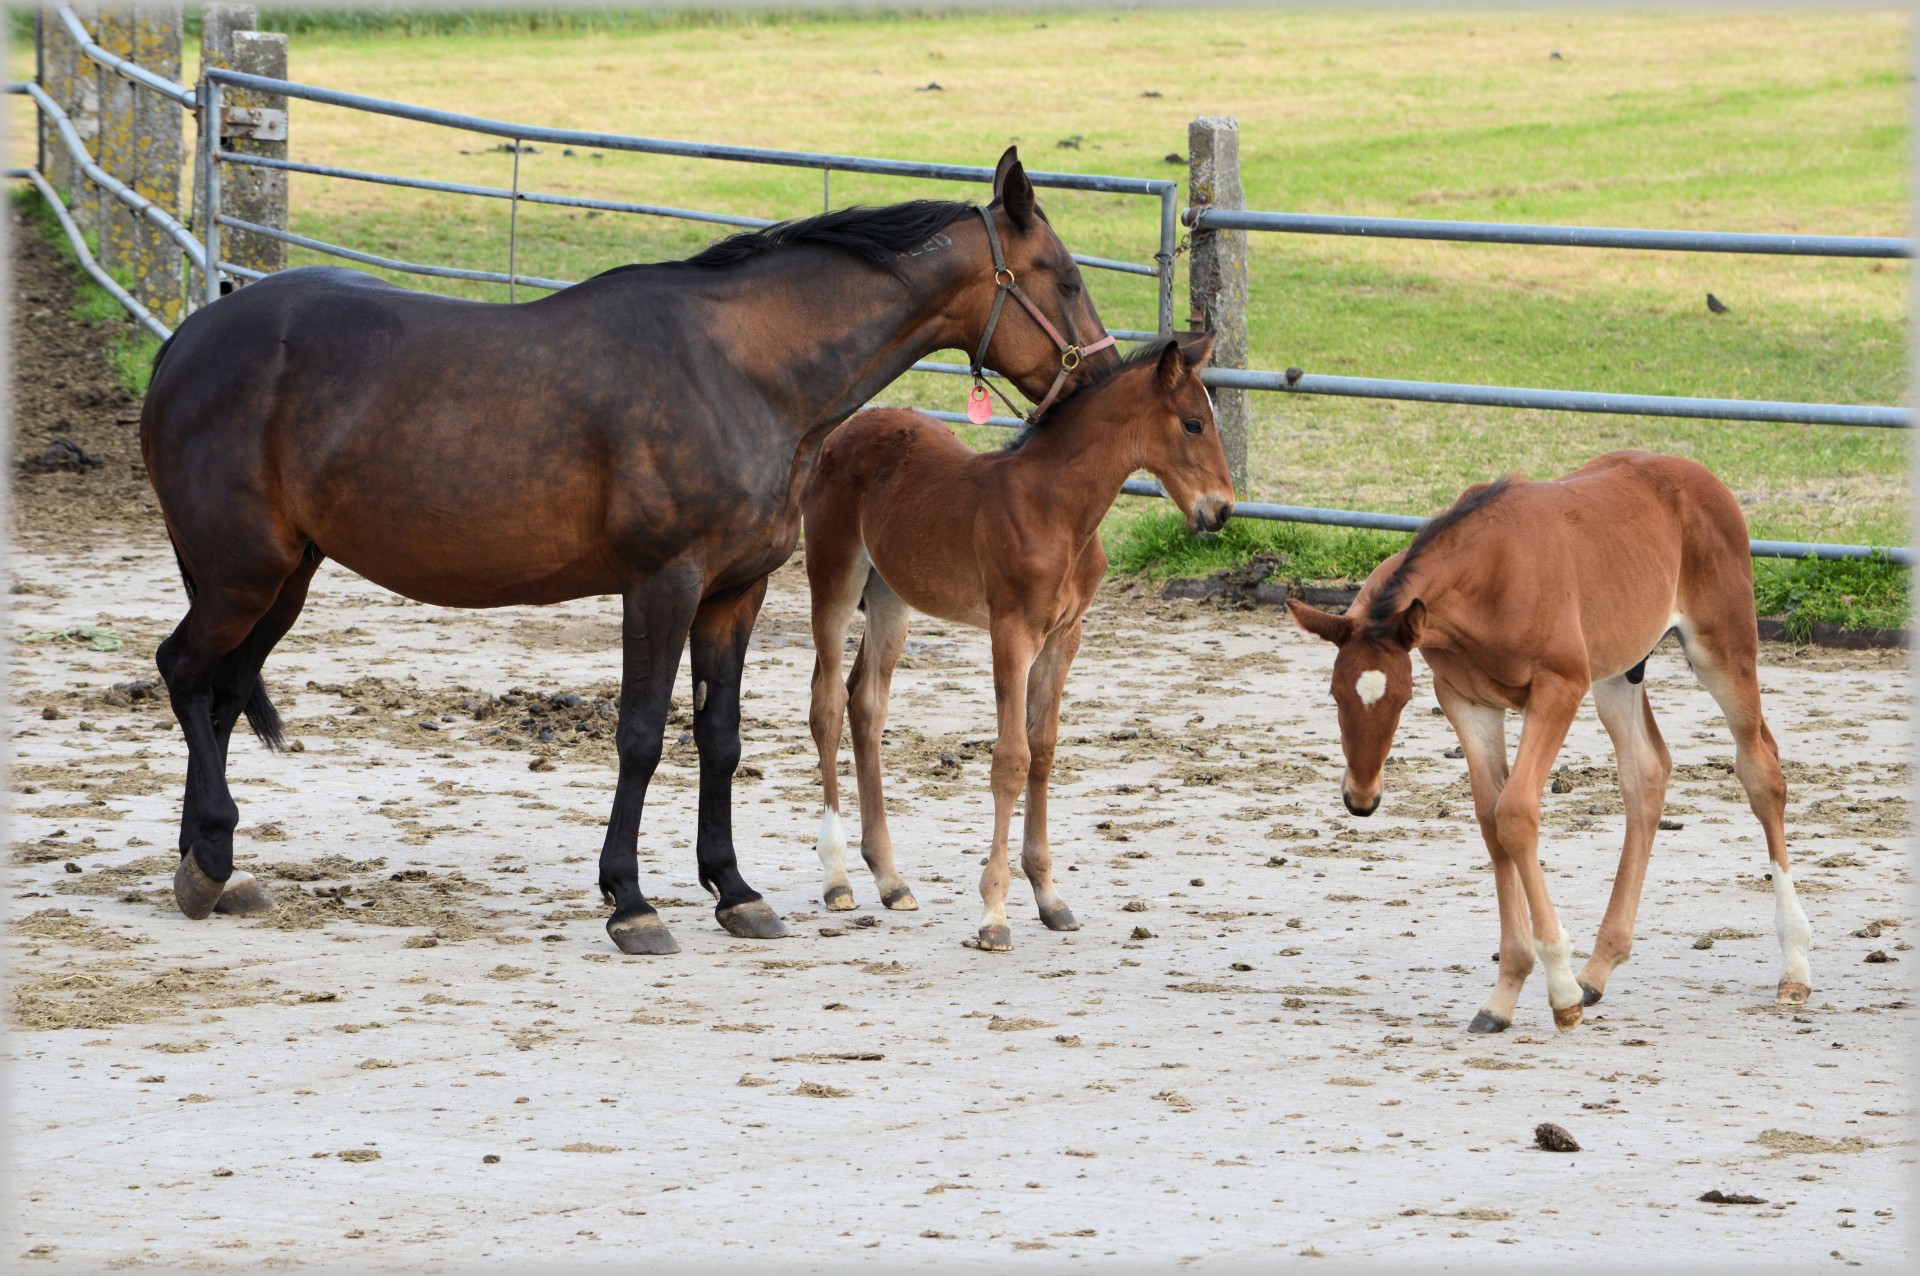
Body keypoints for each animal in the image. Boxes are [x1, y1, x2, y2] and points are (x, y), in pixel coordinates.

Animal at [142, 149, 1121, 951]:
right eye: (1066, 278)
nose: (1106, 381)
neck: (742, 369)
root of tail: (186, 342)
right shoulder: (662, 584)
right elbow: (643, 735)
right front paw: (632, 902)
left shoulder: (733, 592)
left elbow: (719, 737)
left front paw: (735, 891)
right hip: (243, 576)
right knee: (184, 672)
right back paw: (209, 860)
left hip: (283, 580)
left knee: (220, 693)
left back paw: (214, 867)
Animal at [798, 333, 1228, 951]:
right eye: (1193, 424)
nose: (1221, 509)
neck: (1057, 510)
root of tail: (845, 429)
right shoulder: (1012, 631)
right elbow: (1010, 758)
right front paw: (994, 913)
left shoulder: (1063, 638)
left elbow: (1042, 751)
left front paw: (1050, 898)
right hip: (835, 577)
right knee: (829, 703)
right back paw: (836, 877)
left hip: (890, 597)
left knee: (867, 705)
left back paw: (890, 878)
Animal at [1282, 452, 1804, 1028]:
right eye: (1333, 694)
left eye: (1400, 698)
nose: (1362, 798)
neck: (1490, 578)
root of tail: (1697, 474)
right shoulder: (1467, 702)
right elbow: (1492, 822)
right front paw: (1504, 996)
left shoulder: (1558, 689)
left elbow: (1515, 814)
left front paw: (1560, 991)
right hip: (1616, 673)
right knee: (1646, 774)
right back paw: (1597, 971)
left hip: (1722, 650)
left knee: (1761, 771)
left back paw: (1794, 969)